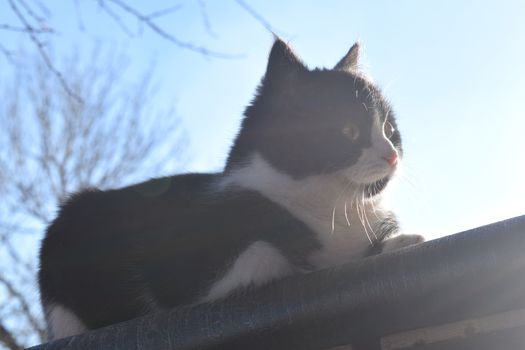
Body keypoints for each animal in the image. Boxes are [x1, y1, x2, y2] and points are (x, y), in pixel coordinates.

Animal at [37, 39, 422, 340]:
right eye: (347, 130)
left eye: (389, 129)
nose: (391, 154)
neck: (333, 206)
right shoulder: (183, 271)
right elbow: (264, 254)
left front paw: (401, 241)